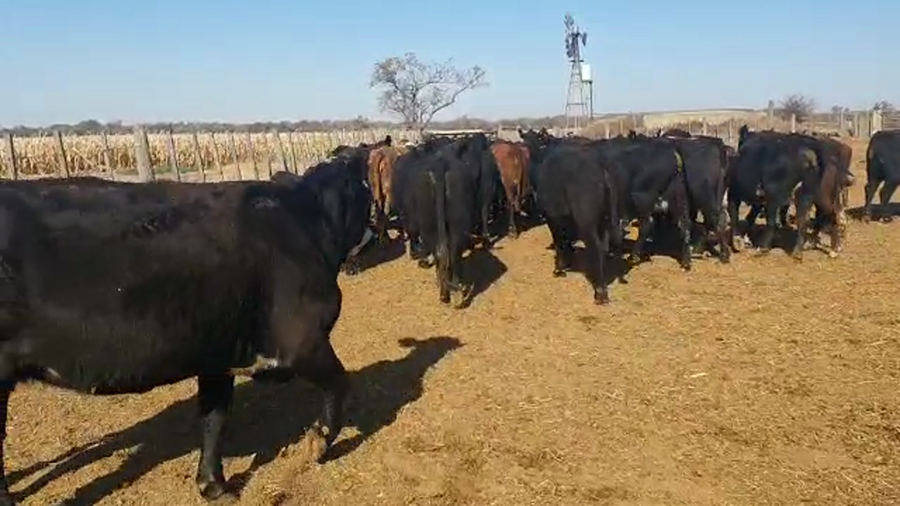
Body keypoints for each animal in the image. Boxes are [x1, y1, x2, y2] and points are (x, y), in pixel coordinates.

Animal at [0, 154, 373, 505]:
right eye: (366, 189)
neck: (305, 223)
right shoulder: (301, 340)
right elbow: (339, 383)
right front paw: (317, 444)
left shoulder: (219, 355)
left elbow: (214, 418)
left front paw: (213, 485)